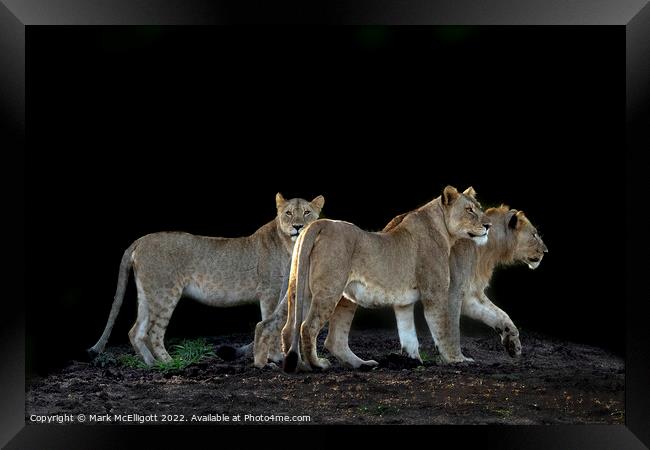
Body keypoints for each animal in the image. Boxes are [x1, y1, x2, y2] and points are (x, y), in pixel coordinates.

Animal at [87, 193, 324, 366]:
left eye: (307, 212)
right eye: (288, 213)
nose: (298, 226)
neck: (289, 244)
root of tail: (140, 240)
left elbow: (277, 323)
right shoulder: (270, 292)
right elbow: (271, 324)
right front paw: (274, 358)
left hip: (148, 294)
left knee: (135, 331)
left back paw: (151, 364)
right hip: (165, 293)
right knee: (152, 332)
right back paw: (168, 363)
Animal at [276, 186, 488, 372]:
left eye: (479, 207)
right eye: (469, 210)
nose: (488, 225)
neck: (443, 229)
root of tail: (320, 223)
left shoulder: (404, 303)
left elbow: (408, 333)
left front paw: (413, 361)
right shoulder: (435, 294)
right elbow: (445, 328)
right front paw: (457, 359)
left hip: (307, 290)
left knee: (301, 331)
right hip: (330, 290)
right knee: (308, 327)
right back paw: (317, 365)